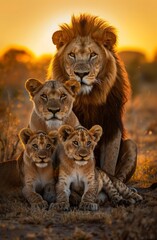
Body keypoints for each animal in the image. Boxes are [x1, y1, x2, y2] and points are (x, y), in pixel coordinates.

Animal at [48, 13, 136, 182]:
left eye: (93, 55)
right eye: (72, 54)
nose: (81, 74)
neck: (87, 99)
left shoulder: (111, 126)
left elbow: (109, 164)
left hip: (131, 145)